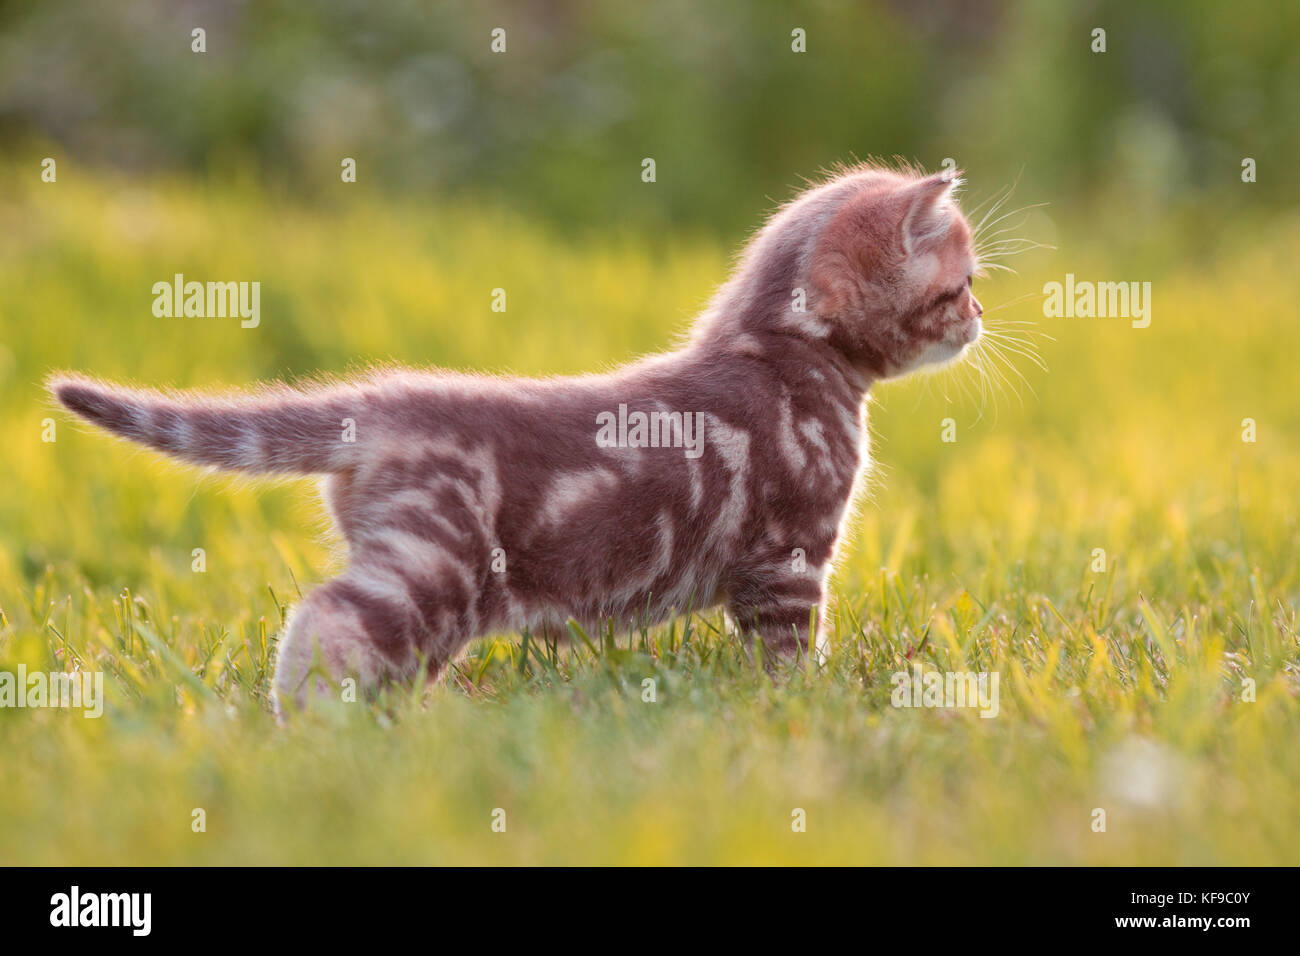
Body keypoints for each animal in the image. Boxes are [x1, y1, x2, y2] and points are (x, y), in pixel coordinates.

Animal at [53, 164, 982, 712]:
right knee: (329, 618)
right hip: (437, 561)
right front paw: (800, 708)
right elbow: (786, 654)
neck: (779, 353)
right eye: (960, 284)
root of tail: (380, 404)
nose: (980, 316)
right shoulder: (788, 561)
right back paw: (310, 728)